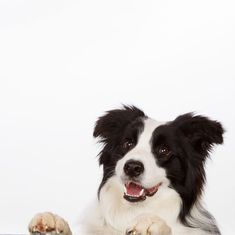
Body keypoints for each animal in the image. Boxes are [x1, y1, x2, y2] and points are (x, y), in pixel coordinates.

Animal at [28, 105, 224, 234]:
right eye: (128, 143)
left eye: (164, 150)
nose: (132, 167)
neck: (134, 211)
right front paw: (52, 222)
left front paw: (150, 223)